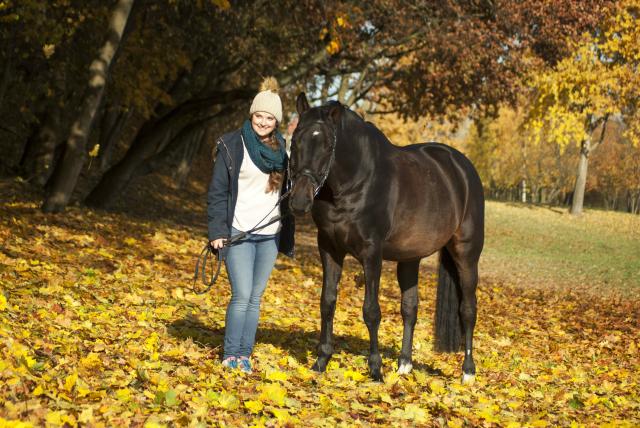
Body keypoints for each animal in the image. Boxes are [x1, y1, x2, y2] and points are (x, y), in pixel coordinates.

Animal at [288, 93, 482, 382]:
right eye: (294, 140)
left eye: (327, 145)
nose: (300, 202)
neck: (357, 181)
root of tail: (462, 167)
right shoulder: (329, 248)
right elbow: (327, 302)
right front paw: (321, 361)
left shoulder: (372, 254)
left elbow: (371, 311)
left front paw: (375, 369)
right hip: (411, 258)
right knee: (410, 308)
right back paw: (404, 364)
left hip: (466, 254)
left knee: (468, 309)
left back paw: (467, 372)